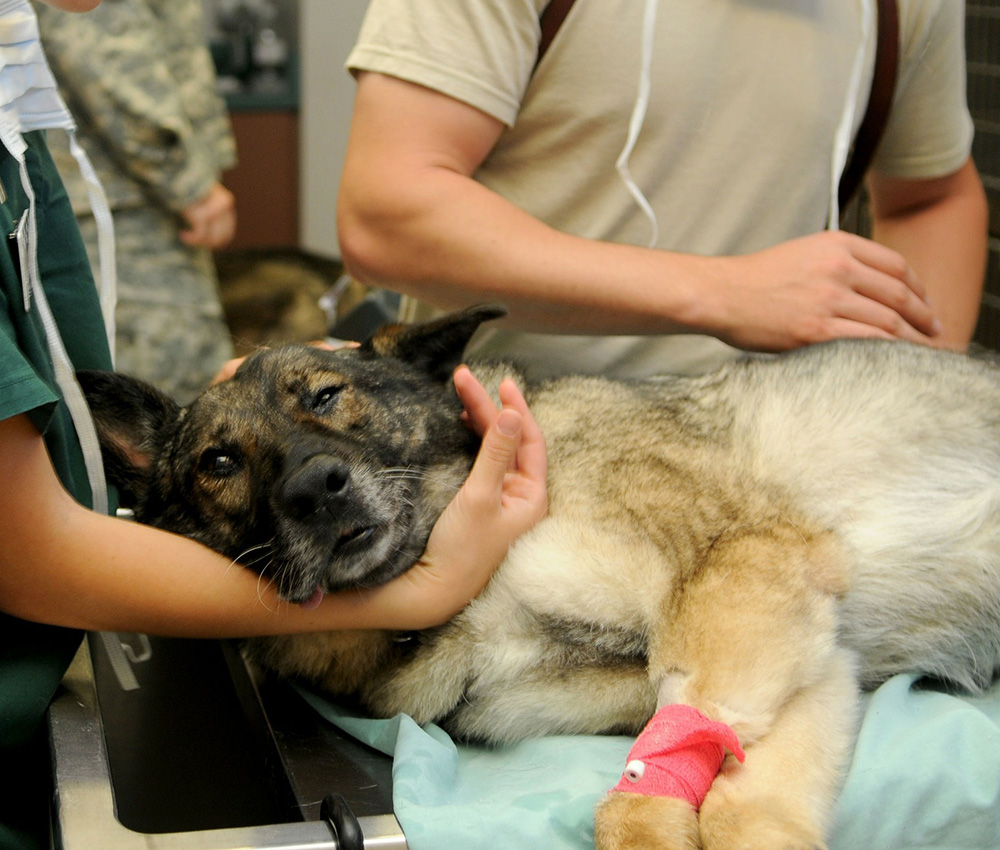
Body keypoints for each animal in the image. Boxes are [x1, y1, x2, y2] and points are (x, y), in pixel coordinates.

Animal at [80, 306, 1000, 848]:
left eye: (328, 394)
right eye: (219, 462)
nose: (315, 489)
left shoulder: (747, 571)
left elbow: (669, 788)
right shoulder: (804, 656)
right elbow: (738, 793)